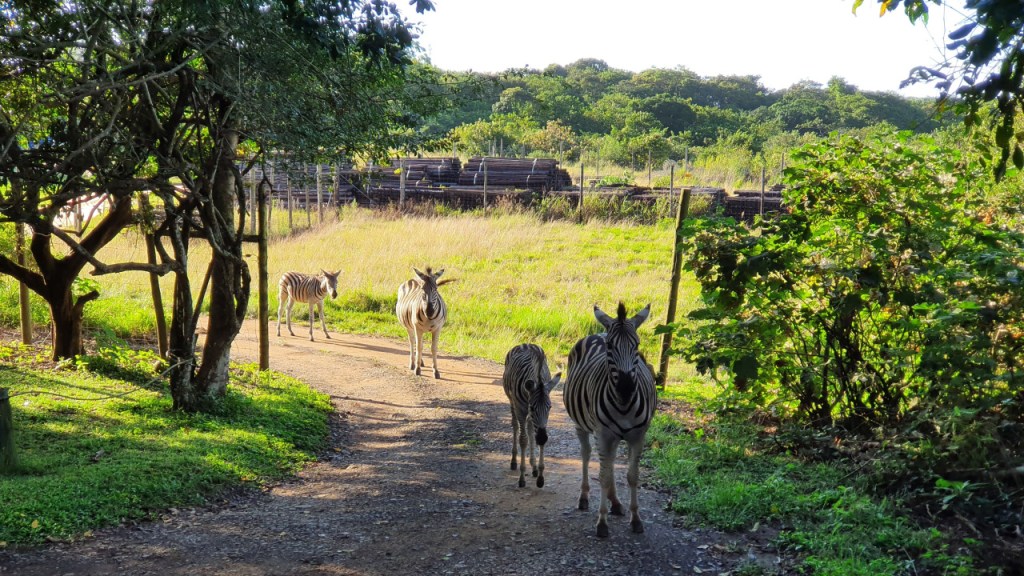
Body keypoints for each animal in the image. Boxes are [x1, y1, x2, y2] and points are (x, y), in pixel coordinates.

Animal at [503, 343, 562, 488]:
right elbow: (523, 440)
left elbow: (535, 437)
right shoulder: (522, 409)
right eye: (532, 407)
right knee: (515, 426)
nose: (541, 437)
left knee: (530, 429)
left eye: (550, 407)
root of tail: (525, 344)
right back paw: (514, 461)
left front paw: (540, 476)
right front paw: (522, 478)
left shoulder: (541, 422)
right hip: (512, 402)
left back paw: (533, 466)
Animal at [563, 302, 657, 538]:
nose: (626, 388)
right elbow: (603, 476)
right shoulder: (603, 434)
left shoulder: (638, 436)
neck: (624, 405)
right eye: (610, 347)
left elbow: (633, 476)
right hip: (583, 426)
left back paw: (615, 502)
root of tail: (599, 332)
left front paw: (636, 519)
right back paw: (584, 497)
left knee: (611, 461)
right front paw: (602, 522)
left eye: (637, 345)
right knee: (586, 455)